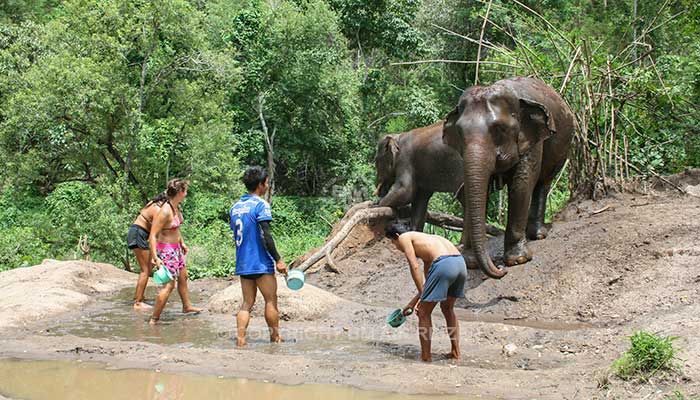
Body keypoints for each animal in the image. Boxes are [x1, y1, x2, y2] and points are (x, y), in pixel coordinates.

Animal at [442, 76, 576, 280]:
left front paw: (518, 260)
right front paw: (470, 262)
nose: (500, 270)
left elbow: (522, 183)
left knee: (543, 183)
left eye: (499, 128)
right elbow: (478, 190)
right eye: (459, 132)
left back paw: (537, 235)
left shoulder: (531, 139)